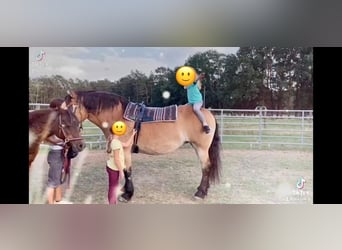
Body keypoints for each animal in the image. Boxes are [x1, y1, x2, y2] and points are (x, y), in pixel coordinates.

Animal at [63, 90, 223, 201]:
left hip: (201, 148)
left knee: (206, 167)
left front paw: (127, 195)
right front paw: (124, 191)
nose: (74, 146)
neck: (119, 116)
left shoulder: (125, 149)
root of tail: (207, 113)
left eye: (69, 110)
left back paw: (200, 193)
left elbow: (127, 171)